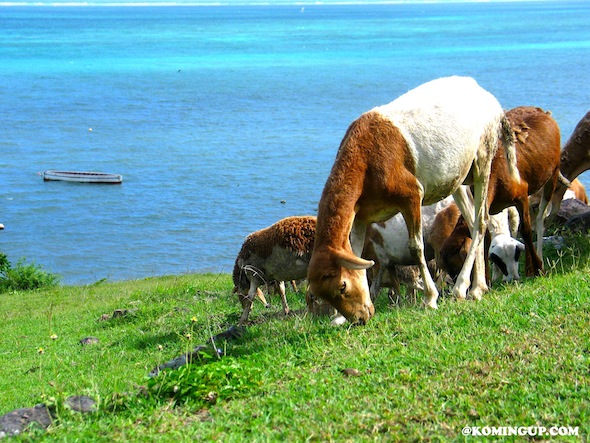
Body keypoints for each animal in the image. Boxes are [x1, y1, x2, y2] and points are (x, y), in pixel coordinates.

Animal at [308, 76, 520, 324]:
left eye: (342, 286)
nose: (361, 318)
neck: (366, 162)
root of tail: (491, 100)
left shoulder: (411, 194)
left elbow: (416, 246)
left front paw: (430, 298)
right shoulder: (361, 216)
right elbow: (357, 253)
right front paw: (339, 319)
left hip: (483, 158)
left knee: (481, 222)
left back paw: (464, 289)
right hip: (458, 178)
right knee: (471, 220)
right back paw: (478, 288)